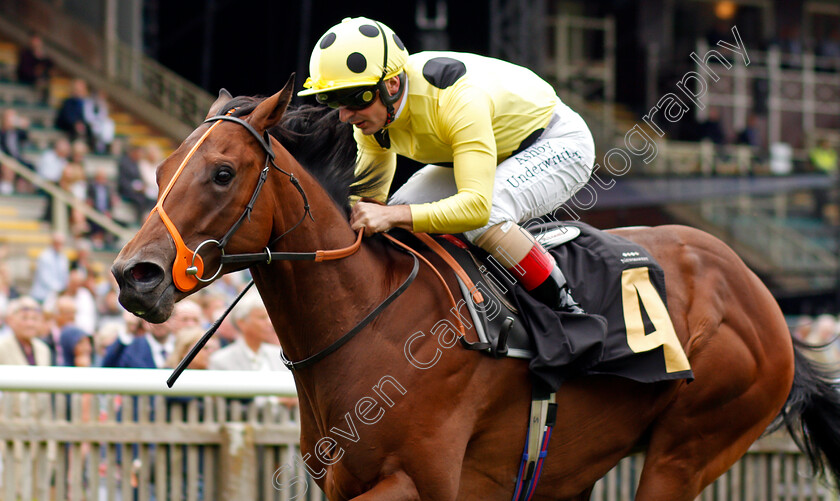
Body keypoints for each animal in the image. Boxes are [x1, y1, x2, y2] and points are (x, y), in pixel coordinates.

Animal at [111, 76, 840, 498]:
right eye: (161, 170)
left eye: (223, 173)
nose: (134, 275)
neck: (371, 319)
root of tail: (761, 297)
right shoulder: (346, 480)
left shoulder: (421, 479)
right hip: (571, 464)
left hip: (688, 451)